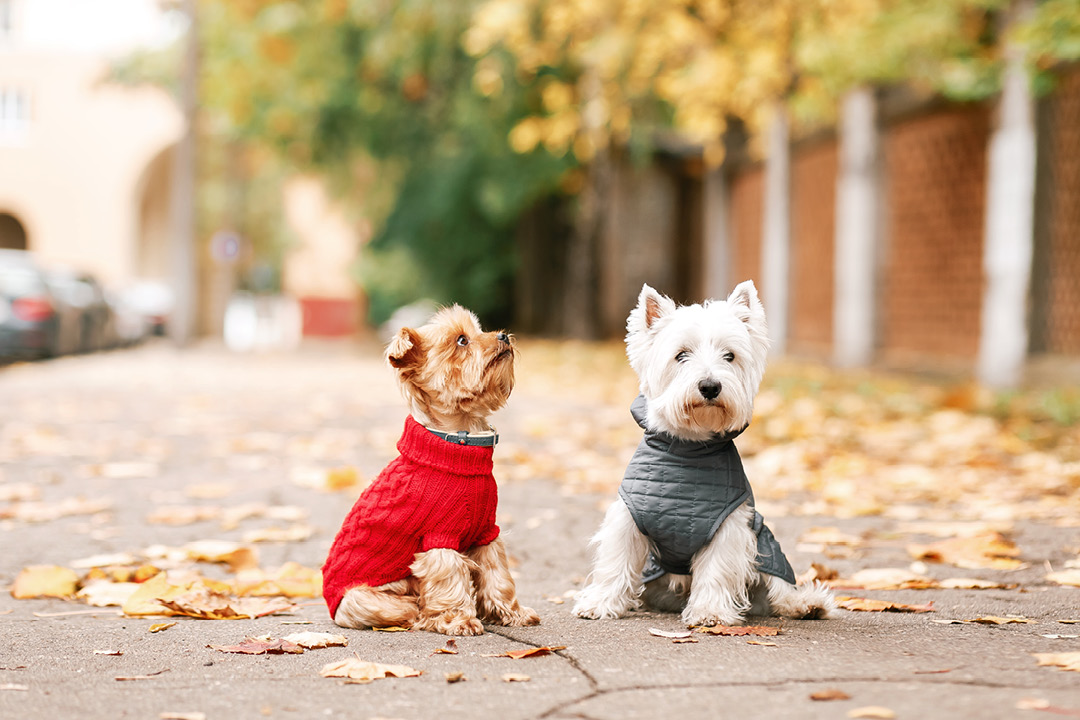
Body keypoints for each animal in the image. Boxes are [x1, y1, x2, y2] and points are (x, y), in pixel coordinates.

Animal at [319, 306, 540, 634]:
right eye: (462, 340)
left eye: (480, 330)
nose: (503, 335)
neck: (459, 443)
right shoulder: (439, 538)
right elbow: (450, 580)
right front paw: (460, 620)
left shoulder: (487, 533)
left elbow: (498, 574)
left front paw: (512, 613)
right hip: (363, 600)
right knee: (410, 608)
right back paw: (426, 617)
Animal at [574, 284, 833, 626]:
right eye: (681, 355)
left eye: (730, 356)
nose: (710, 386)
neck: (688, 451)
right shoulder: (628, 517)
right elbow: (616, 560)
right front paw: (600, 603)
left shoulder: (728, 524)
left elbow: (717, 568)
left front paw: (710, 611)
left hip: (764, 541)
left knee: (778, 586)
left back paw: (805, 604)